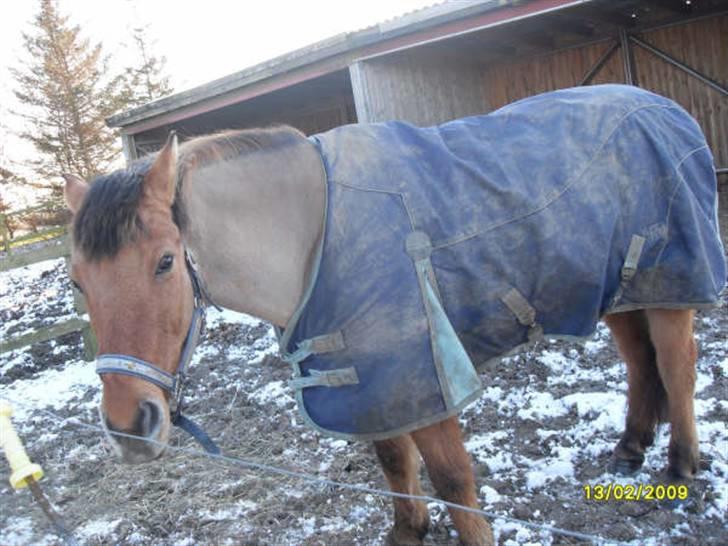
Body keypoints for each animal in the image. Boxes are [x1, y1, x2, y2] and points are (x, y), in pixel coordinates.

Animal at [65, 83, 724, 540]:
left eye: (165, 262)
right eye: (77, 282)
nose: (128, 427)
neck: (312, 232)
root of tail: (665, 108)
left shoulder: (422, 375)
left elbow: (454, 479)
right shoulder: (372, 380)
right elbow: (391, 460)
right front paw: (410, 530)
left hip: (672, 283)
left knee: (677, 365)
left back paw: (680, 466)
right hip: (619, 289)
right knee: (640, 362)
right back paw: (632, 447)